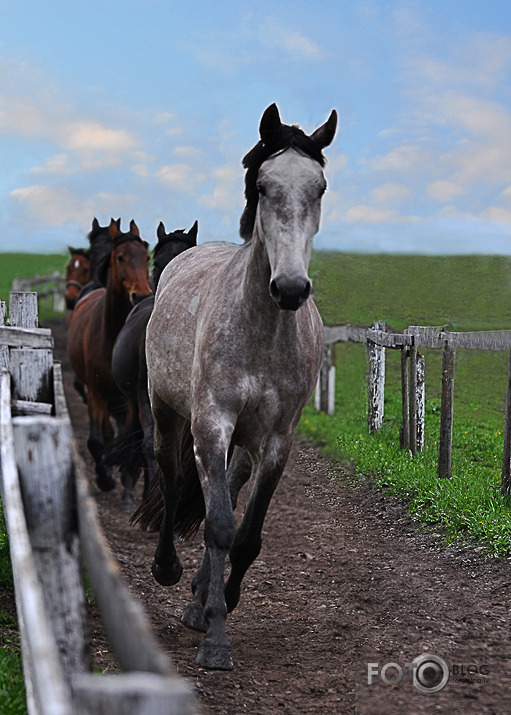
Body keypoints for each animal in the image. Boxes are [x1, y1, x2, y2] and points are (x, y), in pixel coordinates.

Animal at [65, 221, 152, 506]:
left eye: (146, 257)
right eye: (121, 257)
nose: (140, 294)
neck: (111, 334)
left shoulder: (128, 398)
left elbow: (130, 441)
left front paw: (128, 487)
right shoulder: (96, 391)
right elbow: (97, 439)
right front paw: (105, 479)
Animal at [140, 105, 336, 672]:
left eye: (319, 187)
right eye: (264, 185)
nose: (290, 288)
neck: (264, 332)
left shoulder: (276, 443)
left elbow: (245, 536)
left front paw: (219, 604)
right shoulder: (211, 425)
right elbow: (218, 525)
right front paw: (215, 641)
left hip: (243, 447)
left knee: (224, 489)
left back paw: (199, 598)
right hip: (168, 413)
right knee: (173, 478)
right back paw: (171, 572)